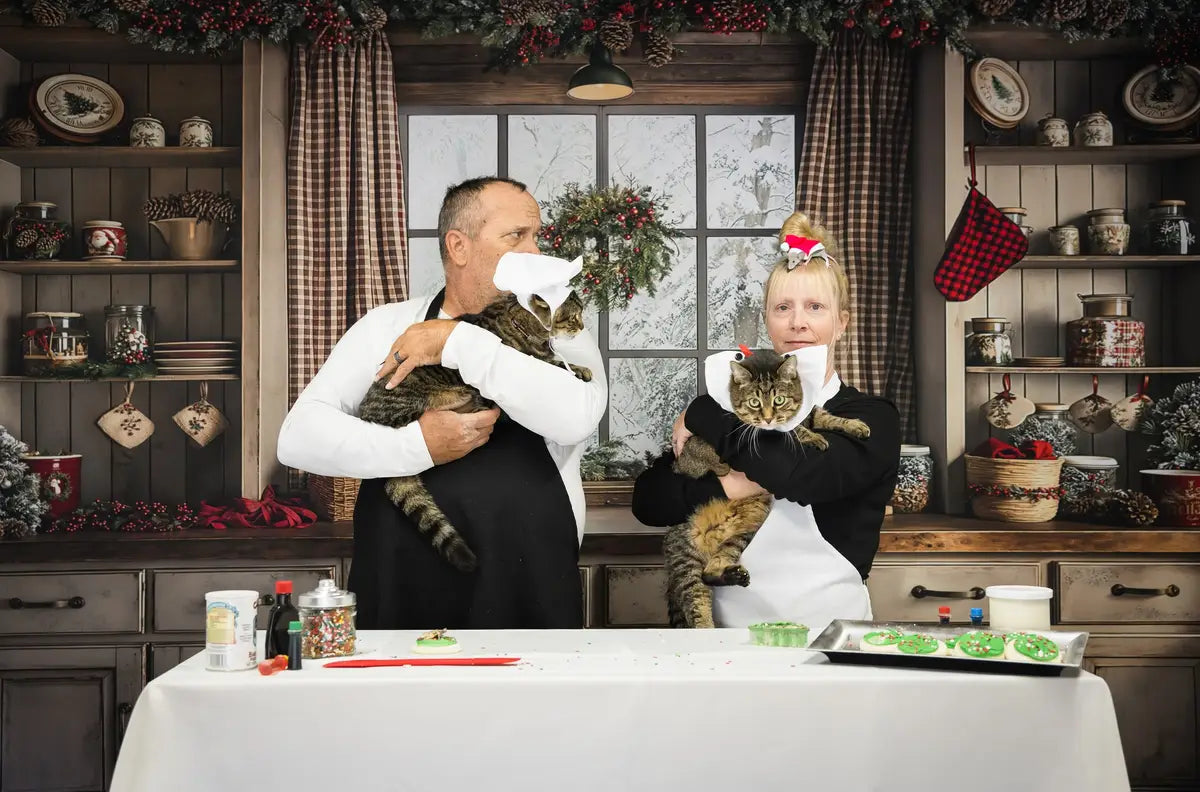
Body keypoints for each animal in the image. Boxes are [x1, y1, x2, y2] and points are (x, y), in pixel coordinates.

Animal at [356, 291, 590, 573]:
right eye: (574, 317)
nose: (583, 327)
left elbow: (557, 363)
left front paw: (580, 367)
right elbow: (554, 364)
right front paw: (578, 367)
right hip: (430, 398)